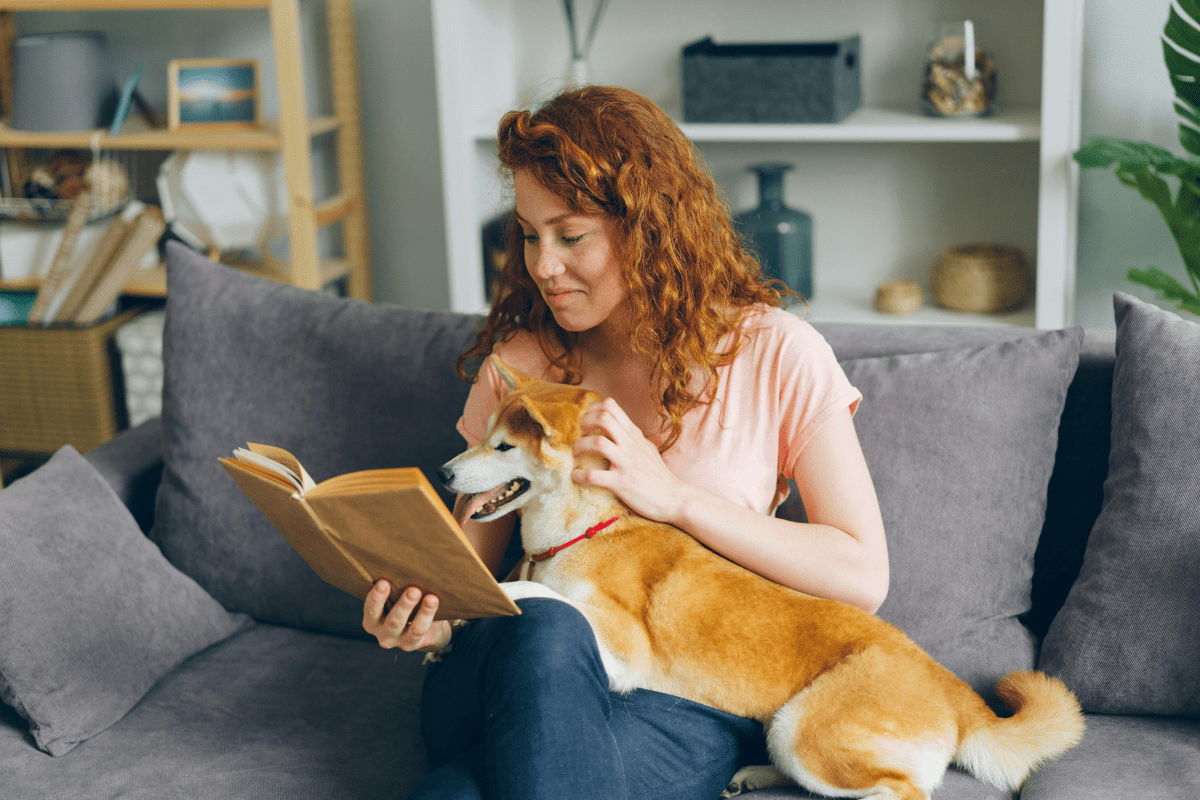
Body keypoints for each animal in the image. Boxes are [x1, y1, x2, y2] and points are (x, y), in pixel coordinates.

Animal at [436, 357, 1084, 800]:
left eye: (502, 446)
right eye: (481, 436)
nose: (442, 473)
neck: (584, 530)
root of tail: (953, 689)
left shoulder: (623, 652)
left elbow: (545, 595)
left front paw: (492, 594)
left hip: (806, 729)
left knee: (903, 792)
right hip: (785, 731)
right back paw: (751, 775)